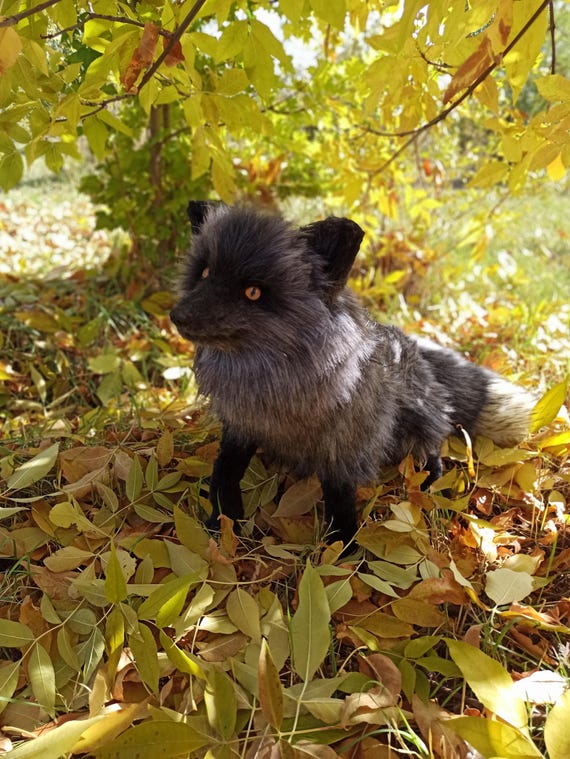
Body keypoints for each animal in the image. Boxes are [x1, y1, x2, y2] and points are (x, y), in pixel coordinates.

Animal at [170, 202, 537, 548]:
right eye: (204, 272)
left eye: (253, 292)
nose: (177, 316)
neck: (270, 388)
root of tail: (411, 346)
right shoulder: (240, 427)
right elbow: (224, 474)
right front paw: (221, 522)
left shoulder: (346, 445)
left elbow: (340, 499)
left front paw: (340, 550)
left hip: (416, 425)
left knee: (432, 454)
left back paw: (429, 486)